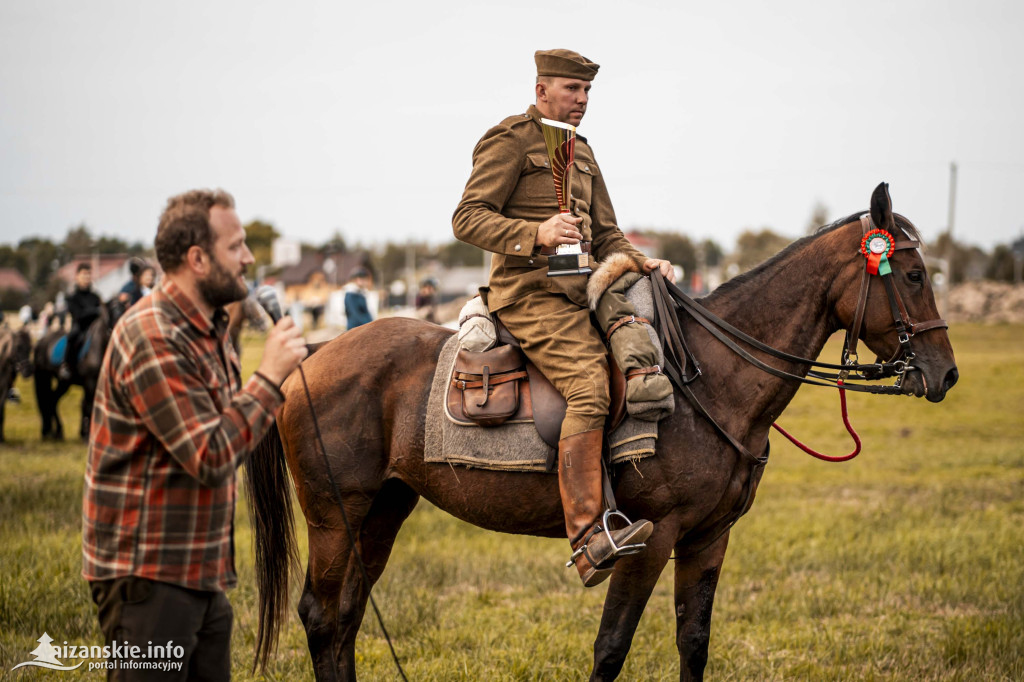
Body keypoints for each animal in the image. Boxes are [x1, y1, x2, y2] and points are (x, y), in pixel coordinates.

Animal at [34, 299, 123, 438]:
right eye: (111, 315)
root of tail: (42, 340)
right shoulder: (90, 382)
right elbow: (89, 405)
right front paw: (87, 435)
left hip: (63, 383)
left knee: (52, 400)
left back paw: (57, 431)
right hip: (46, 376)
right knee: (49, 400)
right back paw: (53, 431)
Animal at [245, 183, 958, 675]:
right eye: (914, 274)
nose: (944, 373)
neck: (711, 379)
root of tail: (312, 354)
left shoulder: (709, 538)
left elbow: (693, 642)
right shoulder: (653, 536)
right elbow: (612, 647)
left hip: (384, 508)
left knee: (345, 617)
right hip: (333, 515)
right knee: (321, 616)